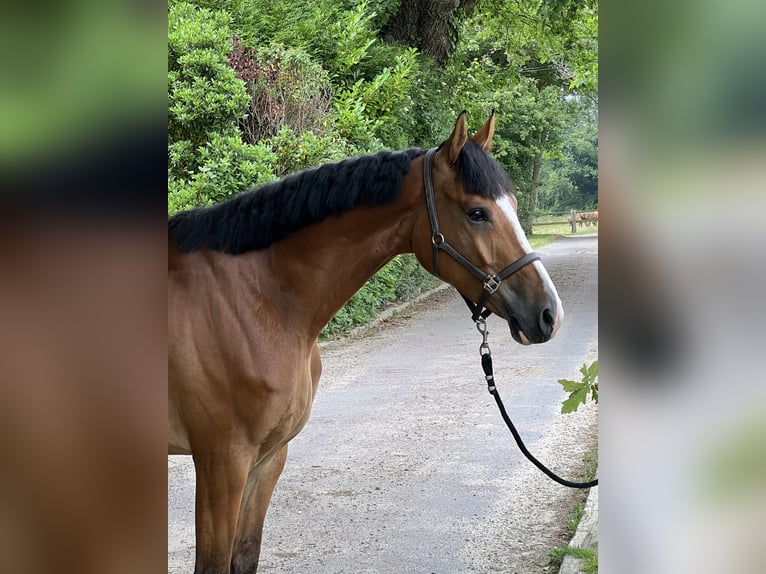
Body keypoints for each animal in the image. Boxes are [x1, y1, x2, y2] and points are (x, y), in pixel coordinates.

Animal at [168, 110, 564, 572]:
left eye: (514, 207)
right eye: (477, 212)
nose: (549, 313)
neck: (255, 296)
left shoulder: (266, 461)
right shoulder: (222, 464)